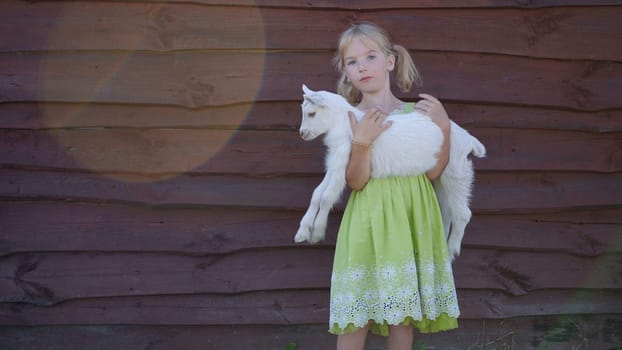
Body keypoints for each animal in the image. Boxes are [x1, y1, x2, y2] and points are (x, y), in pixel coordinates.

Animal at [294, 84, 488, 260]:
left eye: (312, 114)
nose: (303, 133)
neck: (344, 124)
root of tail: (469, 140)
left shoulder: (343, 163)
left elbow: (327, 197)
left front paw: (317, 232)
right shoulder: (335, 164)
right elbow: (317, 194)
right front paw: (303, 232)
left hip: (456, 171)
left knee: (463, 213)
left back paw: (451, 251)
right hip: (443, 177)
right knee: (447, 211)